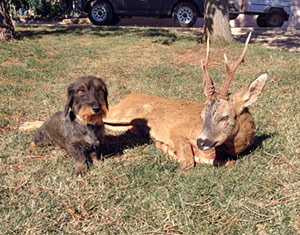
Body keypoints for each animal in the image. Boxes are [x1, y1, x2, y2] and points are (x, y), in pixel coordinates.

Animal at [103, 32, 268, 169]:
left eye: (224, 117)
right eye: (202, 116)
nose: (201, 142)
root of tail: (129, 95)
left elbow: (225, 162)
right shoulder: (176, 130)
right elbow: (188, 161)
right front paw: (164, 146)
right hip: (122, 113)